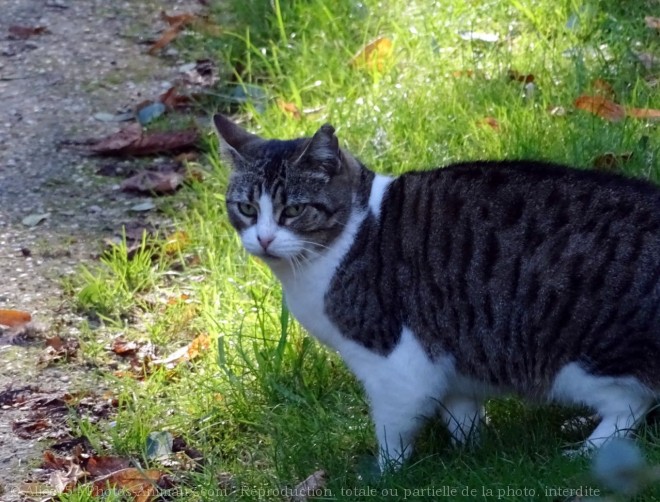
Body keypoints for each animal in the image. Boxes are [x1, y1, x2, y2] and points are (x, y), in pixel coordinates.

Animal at [214, 114, 660, 470]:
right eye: (247, 209)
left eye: (292, 210)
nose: (264, 239)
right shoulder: (450, 355)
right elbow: (461, 412)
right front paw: (473, 453)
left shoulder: (395, 363)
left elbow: (393, 427)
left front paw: (385, 474)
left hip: (584, 358)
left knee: (631, 404)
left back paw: (586, 448)